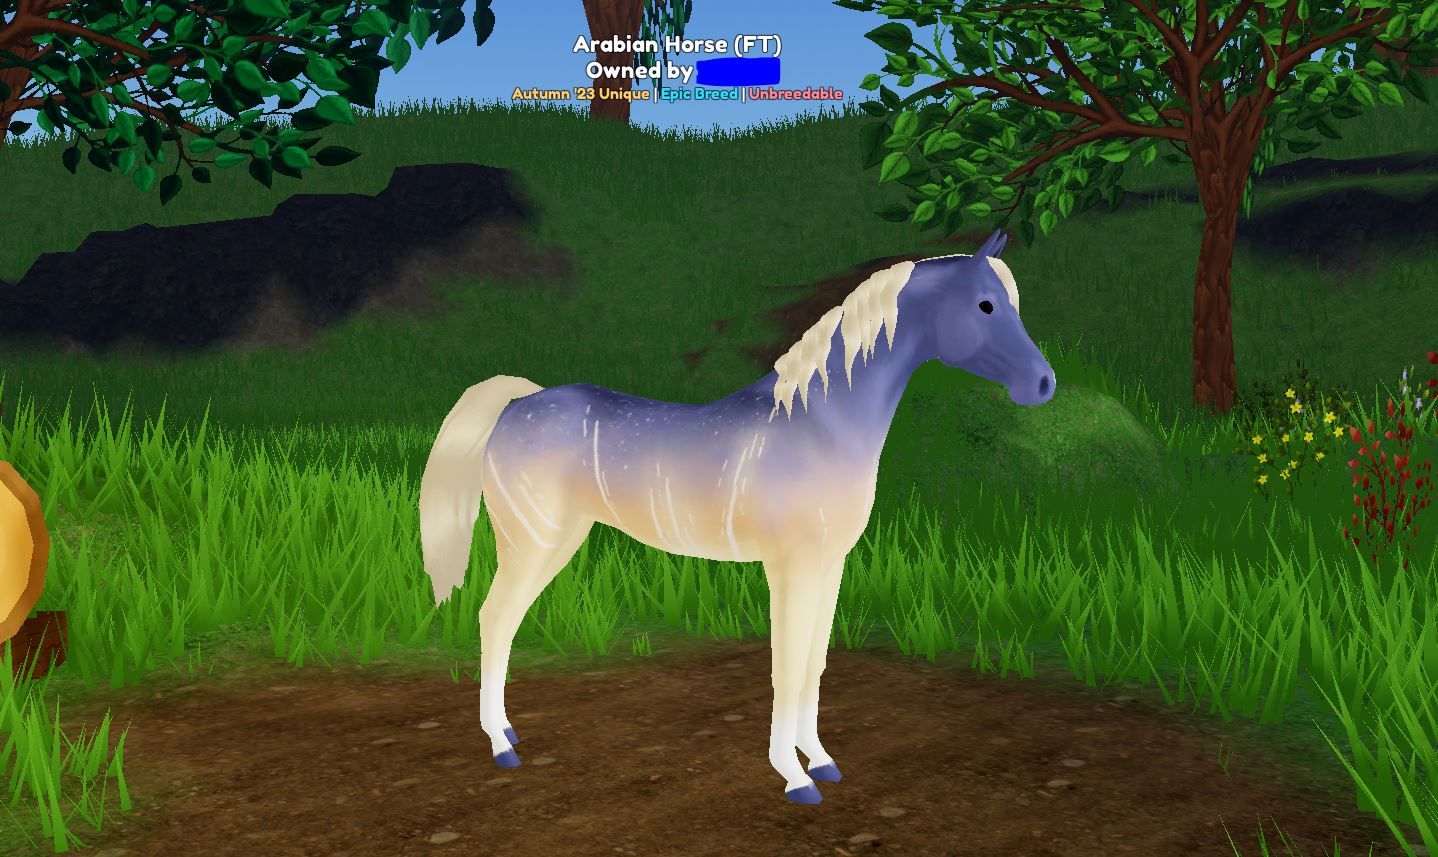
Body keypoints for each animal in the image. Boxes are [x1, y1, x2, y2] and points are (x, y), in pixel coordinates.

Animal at [418, 229, 1055, 804]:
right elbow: (786, 665)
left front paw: (821, 760)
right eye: (986, 304)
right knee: (494, 620)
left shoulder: (829, 567)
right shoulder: (790, 568)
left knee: (500, 622)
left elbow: (814, 664)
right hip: (534, 542)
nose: (1043, 384)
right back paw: (501, 746)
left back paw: (507, 733)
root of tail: (521, 404)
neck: (821, 427)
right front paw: (794, 778)